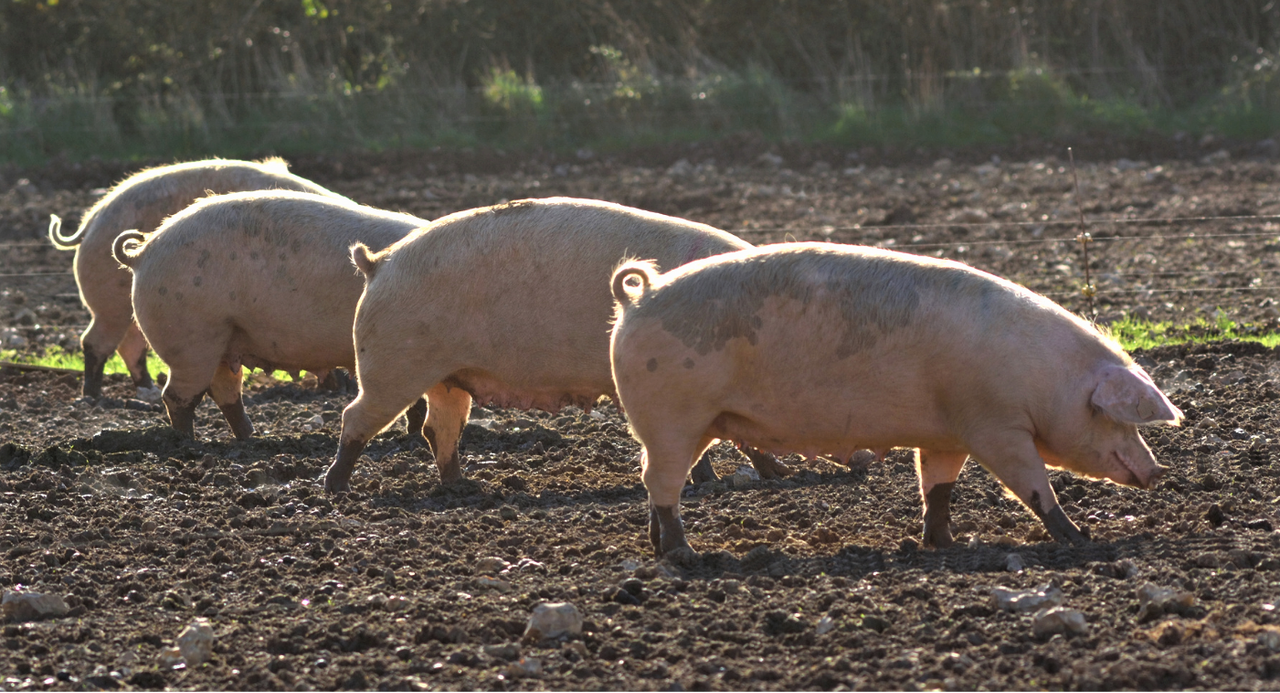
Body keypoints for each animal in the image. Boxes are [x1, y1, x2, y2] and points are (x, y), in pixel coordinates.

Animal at [49, 158, 342, 400]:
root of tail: (90, 221)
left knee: (129, 345)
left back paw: (148, 392)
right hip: (109, 304)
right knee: (94, 341)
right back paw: (94, 397)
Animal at [112, 190, 429, 440]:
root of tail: (142, 253)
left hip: (223, 341)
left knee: (224, 390)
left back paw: (251, 438)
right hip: (190, 341)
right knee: (178, 396)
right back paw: (189, 442)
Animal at [323, 197, 791, 493]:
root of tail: (377, 264)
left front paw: (754, 476)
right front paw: (768, 475)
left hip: (446, 377)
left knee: (438, 428)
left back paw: (464, 486)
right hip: (390, 368)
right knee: (355, 418)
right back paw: (337, 488)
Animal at [608, 242, 1183, 559]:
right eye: (1117, 420)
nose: (1159, 471)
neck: (1045, 378)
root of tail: (638, 298)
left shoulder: (949, 434)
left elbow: (938, 487)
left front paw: (947, 544)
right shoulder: (995, 426)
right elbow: (1035, 486)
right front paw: (1080, 539)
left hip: (683, 424)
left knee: (654, 480)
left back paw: (661, 547)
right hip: (672, 417)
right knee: (661, 482)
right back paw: (685, 555)